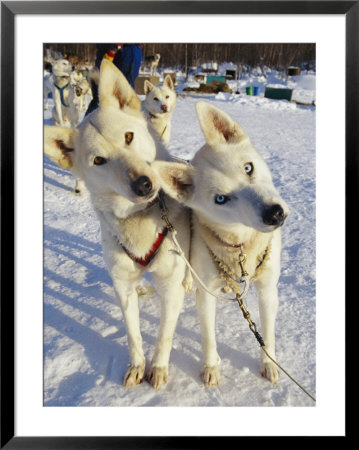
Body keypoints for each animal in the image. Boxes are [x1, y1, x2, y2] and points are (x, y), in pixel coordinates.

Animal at [43, 59, 191, 390]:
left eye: (128, 137)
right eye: (99, 160)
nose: (143, 184)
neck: (138, 220)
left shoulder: (169, 286)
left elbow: (163, 335)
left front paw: (158, 368)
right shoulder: (122, 286)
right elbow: (133, 334)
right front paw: (137, 366)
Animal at [153, 102, 292, 386]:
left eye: (248, 168)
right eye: (221, 199)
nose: (274, 214)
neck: (240, 247)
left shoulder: (267, 289)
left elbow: (268, 332)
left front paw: (269, 363)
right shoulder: (207, 295)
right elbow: (208, 336)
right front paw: (210, 367)